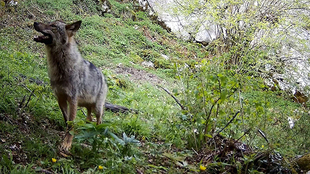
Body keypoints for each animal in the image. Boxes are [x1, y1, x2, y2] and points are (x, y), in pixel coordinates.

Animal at [33, 20, 108, 153]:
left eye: (53, 26)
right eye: (49, 22)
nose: (35, 22)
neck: (61, 68)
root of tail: (103, 77)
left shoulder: (72, 100)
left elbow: (71, 122)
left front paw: (66, 144)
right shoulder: (60, 98)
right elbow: (67, 120)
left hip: (97, 108)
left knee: (99, 121)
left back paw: (97, 136)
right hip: (86, 106)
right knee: (89, 119)